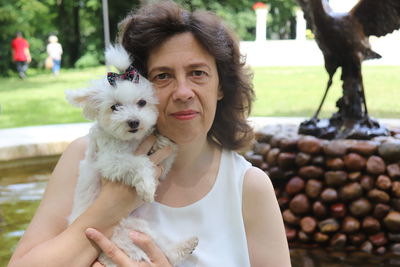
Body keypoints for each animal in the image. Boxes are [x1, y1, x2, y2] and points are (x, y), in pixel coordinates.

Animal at [65, 45, 200, 266]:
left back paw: (185, 246)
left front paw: (161, 140)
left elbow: (165, 155)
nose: (134, 122)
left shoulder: (160, 168)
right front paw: (147, 188)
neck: (131, 141)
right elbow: (139, 163)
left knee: (165, 253)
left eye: (142, 102)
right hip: (127, 232)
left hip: (142, 229)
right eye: (115, 107)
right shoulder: (110, 161)